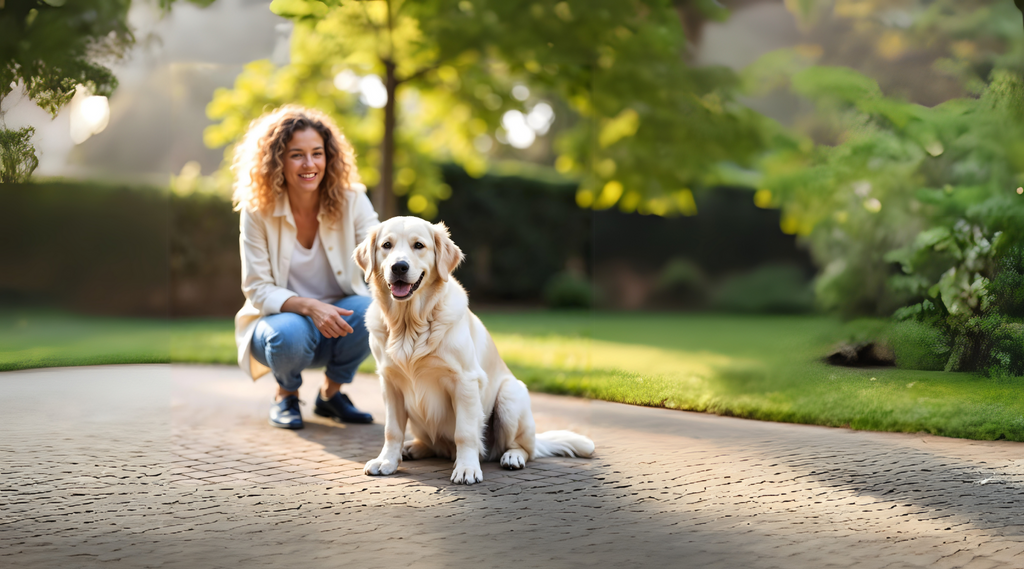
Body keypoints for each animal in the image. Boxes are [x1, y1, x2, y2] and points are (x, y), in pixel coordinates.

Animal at [352, 215, 593, 483]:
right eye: (386, 245)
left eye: (419, 245)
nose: (399, 267)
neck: (409, 325)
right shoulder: (390, 383)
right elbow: (392, 430)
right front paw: (387, 461)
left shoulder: (465, 381)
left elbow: (465, 432)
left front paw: (467, 468)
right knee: (434, 444)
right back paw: (413, 447)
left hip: (510, 395)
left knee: (523, 448)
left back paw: (512, 456)